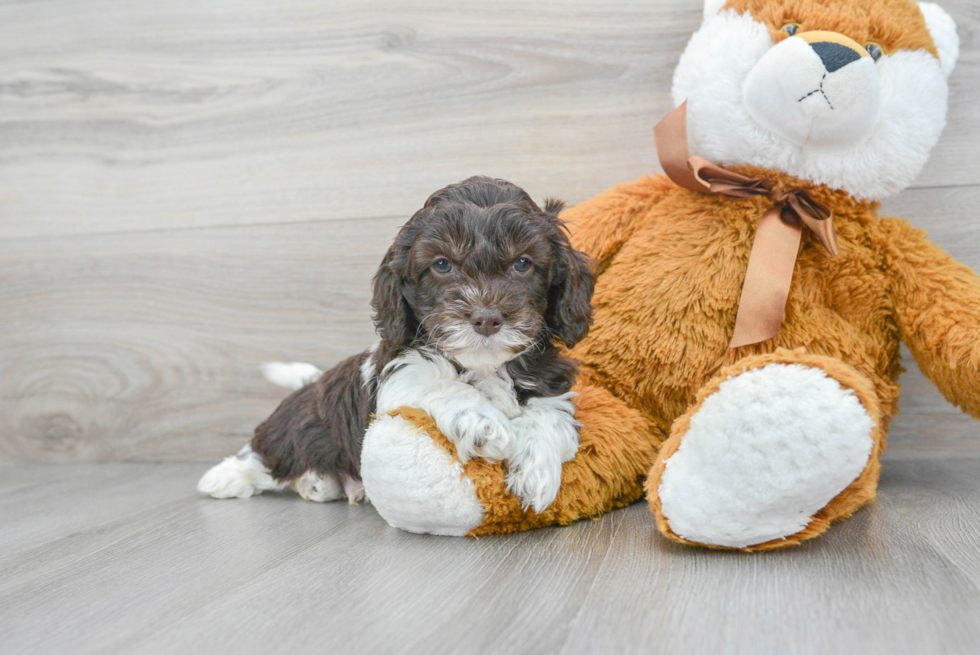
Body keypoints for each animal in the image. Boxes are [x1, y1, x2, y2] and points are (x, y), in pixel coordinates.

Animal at [197, 178, 596, 512]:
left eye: (522, 264)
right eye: (442, 265)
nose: (486, 318)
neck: (482, 365)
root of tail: (310, 384)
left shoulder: (551, 387)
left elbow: (551, 418)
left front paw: (537, 473)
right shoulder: (398, 375)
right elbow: (442, 385)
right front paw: (484, 424)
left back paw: (320, 485)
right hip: (295, 429)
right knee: (268, 455)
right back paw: (225, 478)